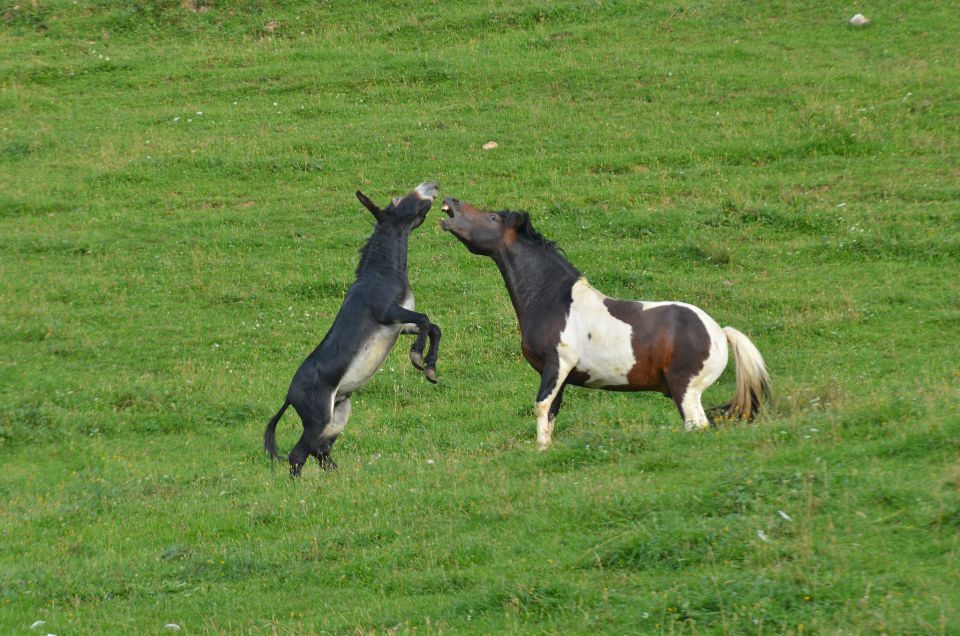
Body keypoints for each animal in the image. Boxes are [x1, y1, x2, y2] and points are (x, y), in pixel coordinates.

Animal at [262, 181, 442, 474]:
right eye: (396, 199)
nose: (432, 185)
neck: (382, 272)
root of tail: (289, 396)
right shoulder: (387, 313)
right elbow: (426, 319)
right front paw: (418, 357)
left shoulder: (399, 325)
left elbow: (434, 327)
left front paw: (430, 369)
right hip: (319, 419)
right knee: (298, 454)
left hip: (339, 413)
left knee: (319, 450)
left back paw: (341, 477)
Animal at [442, 196, 772, 450]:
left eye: (493, 216)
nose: (450, 202)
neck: (554, 301)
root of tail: (720, 332)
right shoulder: (557, 376)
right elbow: (551, 415)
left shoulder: (557, 366)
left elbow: (541, 407)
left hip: (686, 392)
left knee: (697, 425)